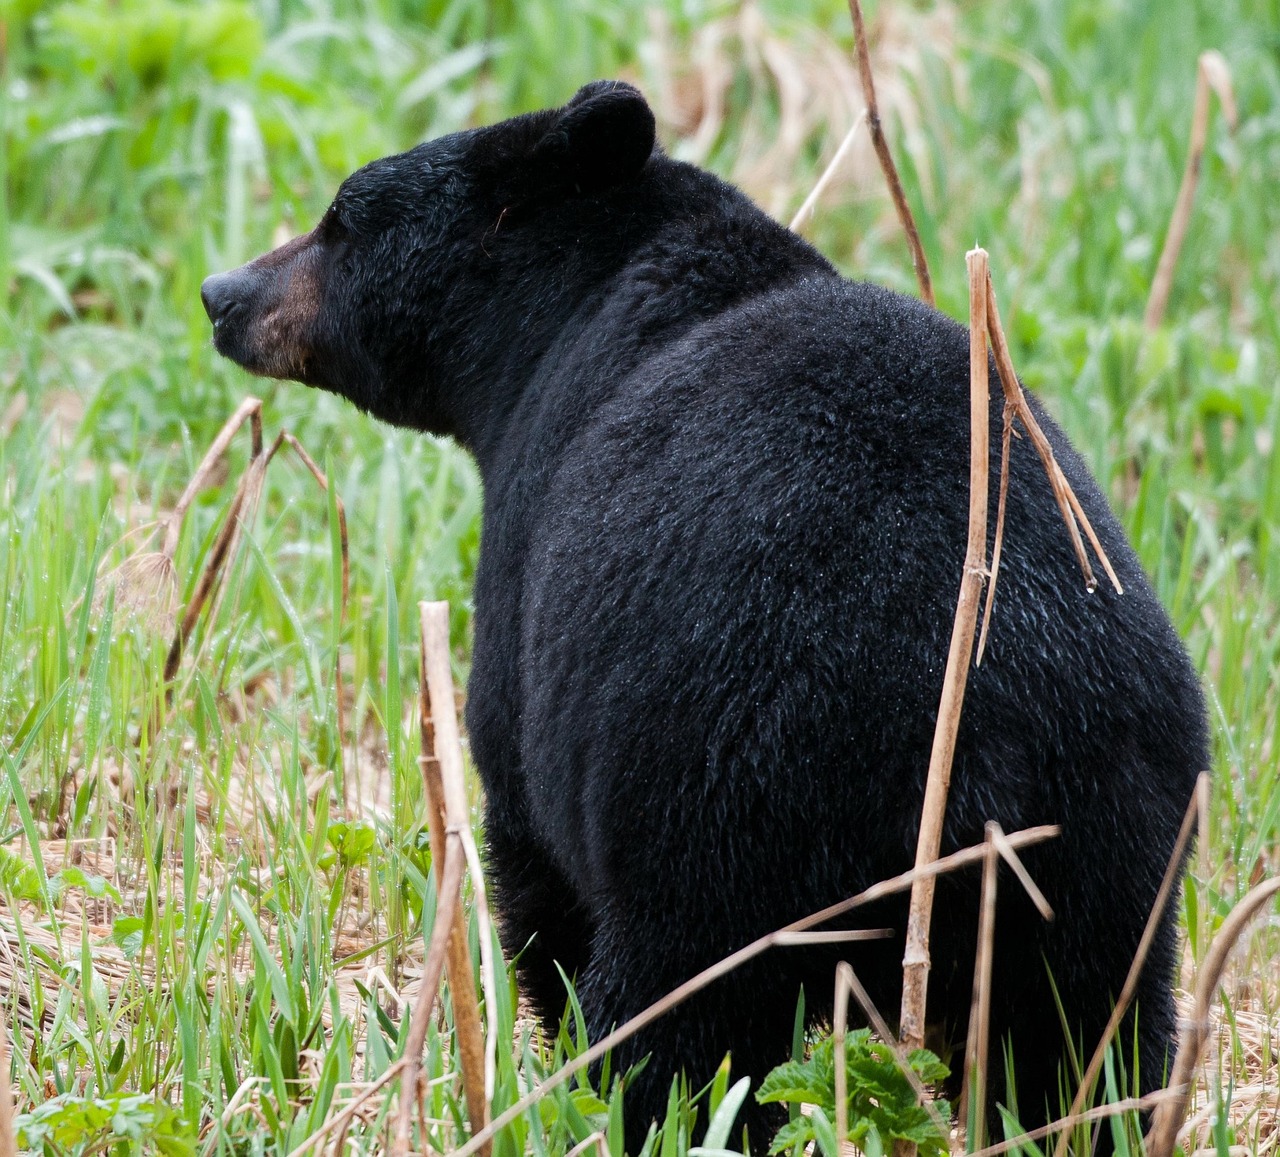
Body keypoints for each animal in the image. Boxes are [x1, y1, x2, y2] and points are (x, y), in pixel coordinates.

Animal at [202, 79, 1208, 1146]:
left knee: (680, 1024)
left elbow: (531, 853)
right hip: (1114, 851)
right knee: (1087, 1048)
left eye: (341, 218)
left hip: (726, 814)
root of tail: (986, 724)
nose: (222, 293)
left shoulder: (529, 580)